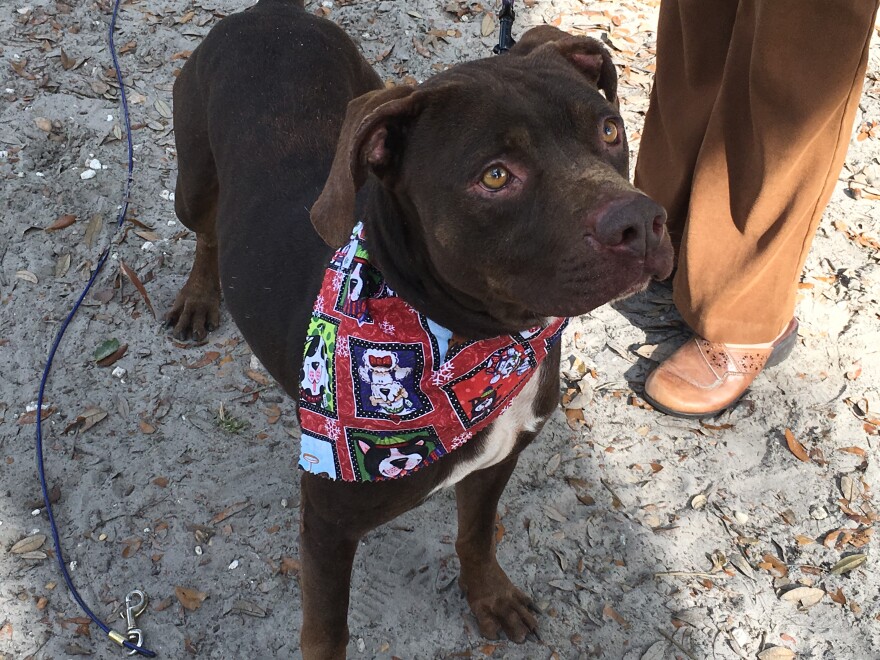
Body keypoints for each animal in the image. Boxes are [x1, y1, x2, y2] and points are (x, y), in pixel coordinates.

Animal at [167, 0, 672, 656]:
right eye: (495, 177)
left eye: (610, 130)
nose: (642, 221)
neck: (481, 341)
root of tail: (272, 11)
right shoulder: (327, 526)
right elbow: (326, 631)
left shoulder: (496, 459)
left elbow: (476, 534)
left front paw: (489, 597)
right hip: (194, 181)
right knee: (206, 232)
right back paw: (198, 297)